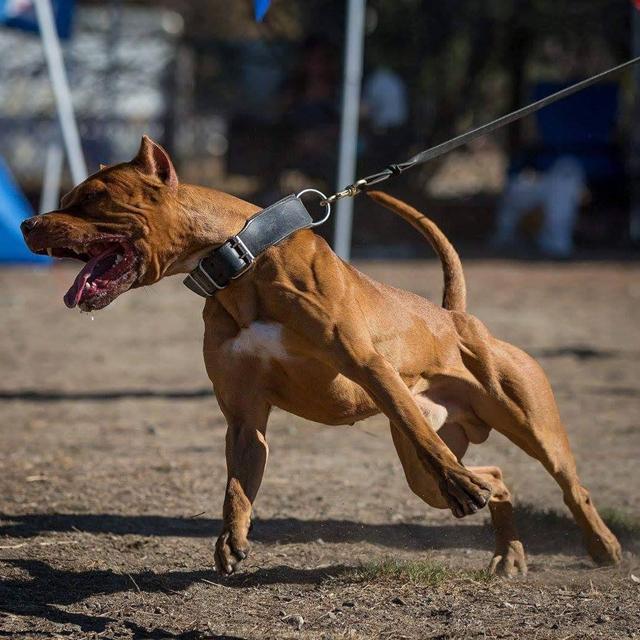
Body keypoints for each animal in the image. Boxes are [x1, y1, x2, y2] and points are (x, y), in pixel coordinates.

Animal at [21, 135, 620, 576]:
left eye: (91, 199)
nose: (27, 223)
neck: (240, 264)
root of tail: (455, 317)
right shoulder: (244, 416)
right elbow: (237, 485)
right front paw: (232, 538)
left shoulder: (368, 367)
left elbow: (408, 417)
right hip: (419, 476)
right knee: (495, 478)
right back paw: (508, 553)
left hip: (530, 423)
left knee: (568, 484)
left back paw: (601, 546)